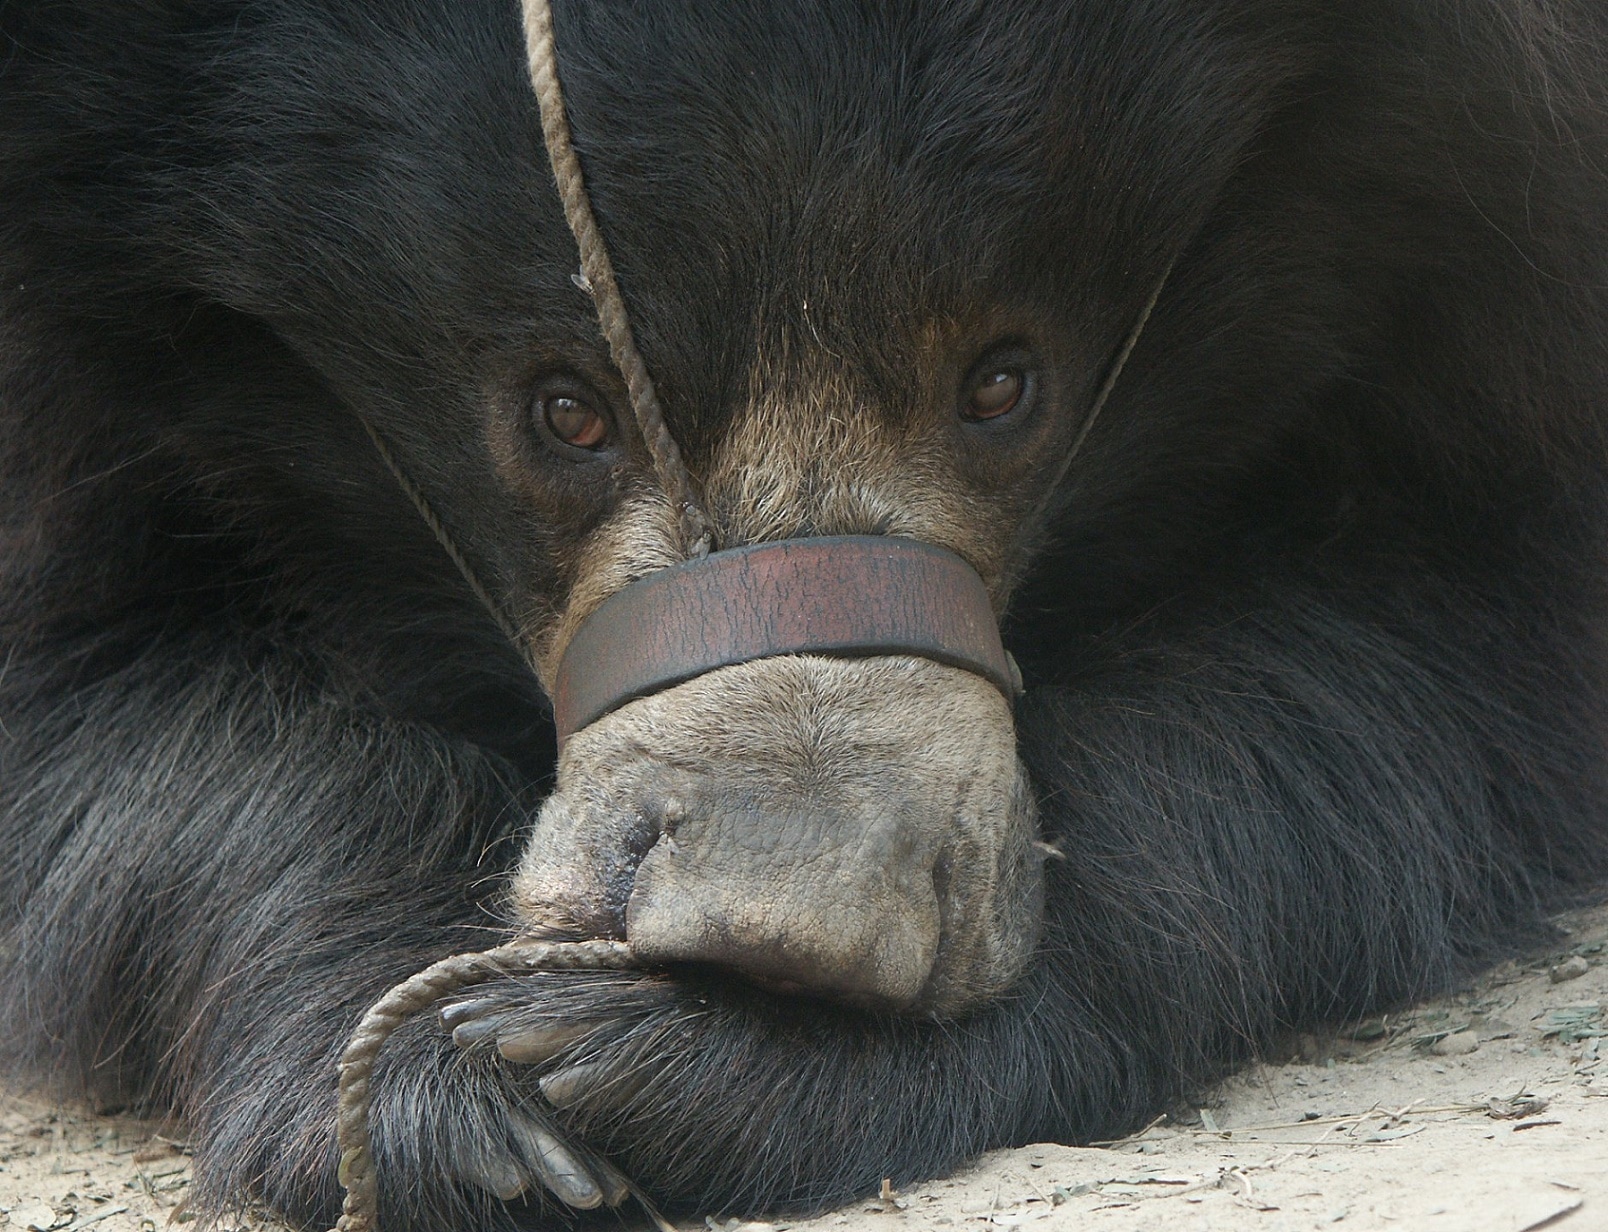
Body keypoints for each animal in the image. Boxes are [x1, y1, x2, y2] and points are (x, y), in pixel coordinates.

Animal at [3, 0, 1608, 1227]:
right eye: (563, 411)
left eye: (1006, 384)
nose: (790, 931)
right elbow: (110, 714)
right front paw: (436, 1091)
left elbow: (1445, 656)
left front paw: (657, 1058)